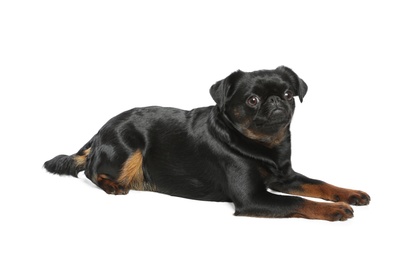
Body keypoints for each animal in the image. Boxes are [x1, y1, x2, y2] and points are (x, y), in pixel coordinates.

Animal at [44, 66, 370, 220]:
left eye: (289, 94)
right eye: (252, 100)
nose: (276, 101)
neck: (264, 146)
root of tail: (99, 132)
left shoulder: (286, 177)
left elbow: (320, 184)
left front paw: (349, 194)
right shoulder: (253, 198)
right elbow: (299, 201)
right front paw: (335, 210)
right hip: (128, 146)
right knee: (90, 170)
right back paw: (112, 185)